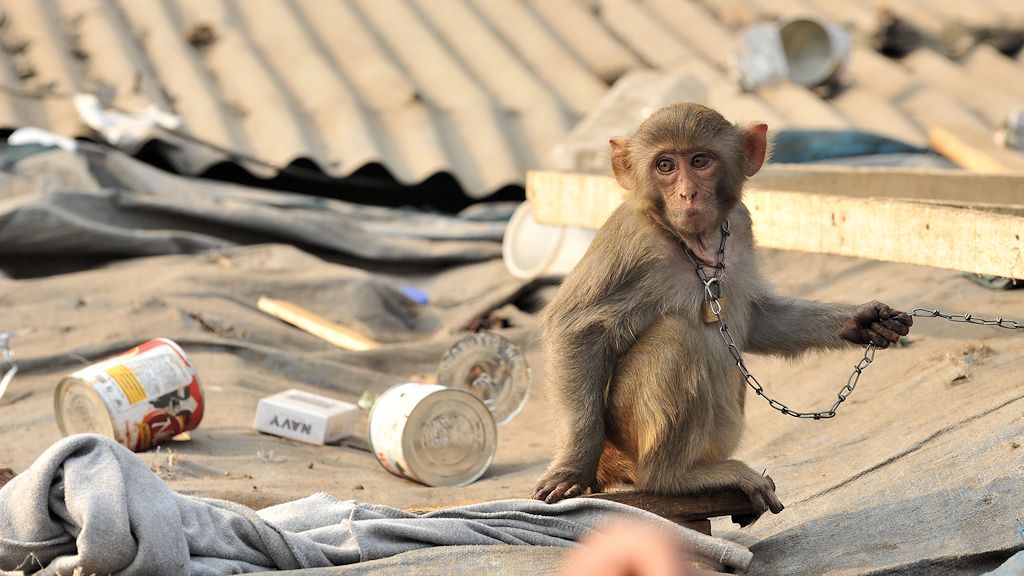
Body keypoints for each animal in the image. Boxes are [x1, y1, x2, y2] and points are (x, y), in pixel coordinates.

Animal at [533, 103, 913, 518]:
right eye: (665, 166)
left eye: (700, 161)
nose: (687, 193)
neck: (693, 242)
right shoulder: (632, 241)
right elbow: (575, 328)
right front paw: (572, 468)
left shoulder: (741, 223)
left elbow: (758, 319)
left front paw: (862, 322)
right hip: (625, 446)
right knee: (675, 337)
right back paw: (673, 477)